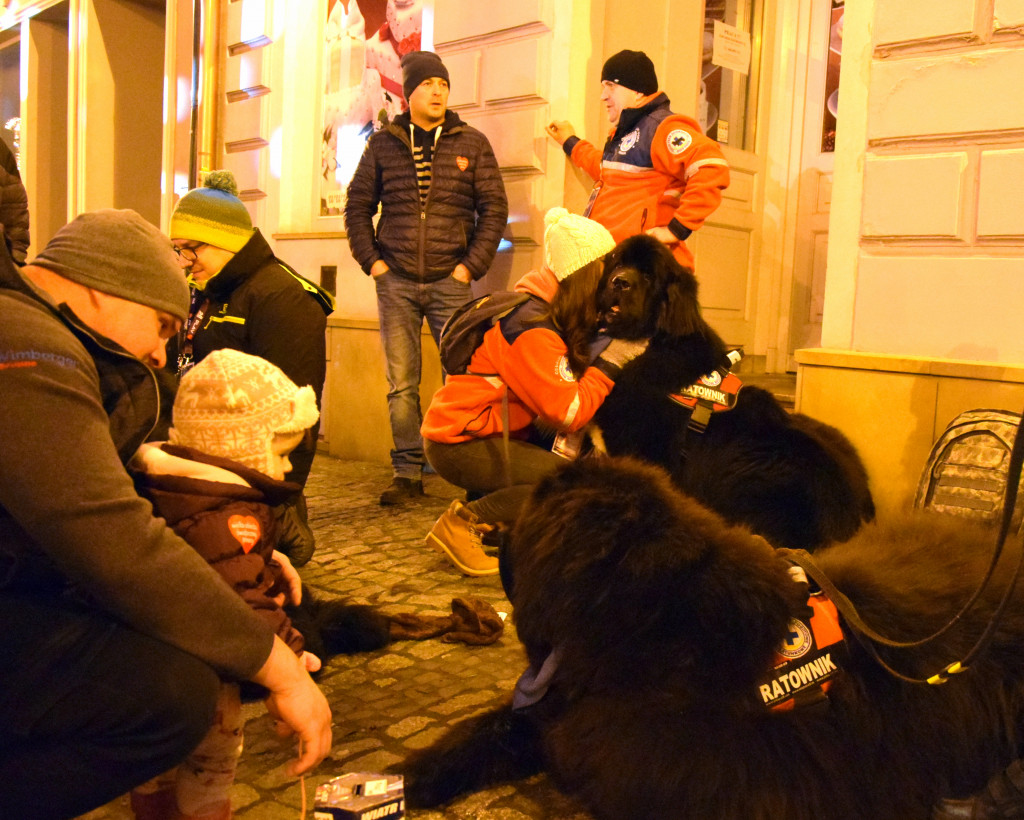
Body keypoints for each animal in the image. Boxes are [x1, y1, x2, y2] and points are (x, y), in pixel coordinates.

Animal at [401, 456, 1024, 814]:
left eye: (524, 520)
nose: (494, 539)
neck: (654, 630)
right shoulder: (568, 712)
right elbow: (488, 728)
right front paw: (410, 778)